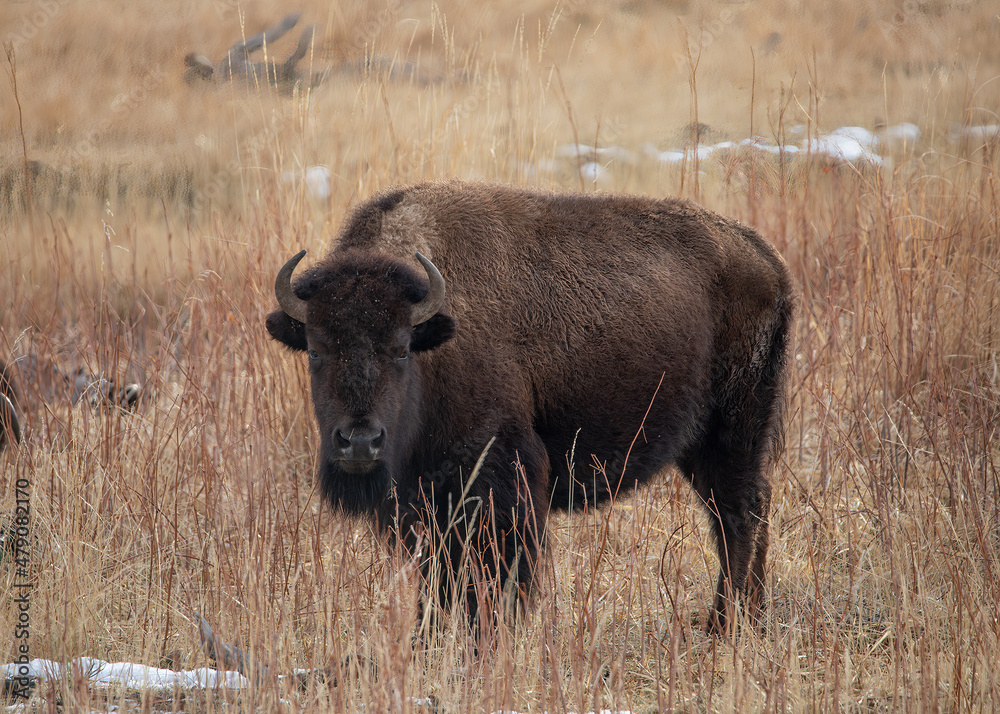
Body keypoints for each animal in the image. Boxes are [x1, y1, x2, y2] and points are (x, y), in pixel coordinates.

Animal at [268, 179, 796, 636]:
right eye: (314, 349)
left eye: (400, 349)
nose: (359, 442)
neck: (436, 335)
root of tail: (767, 259)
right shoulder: (425, 503)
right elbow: (439, 575)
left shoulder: (497, 479)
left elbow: (493, 570)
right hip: (703, 444)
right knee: (743, 508)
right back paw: (747, 616)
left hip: (735, 428)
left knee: (738, 514)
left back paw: (726, 624)